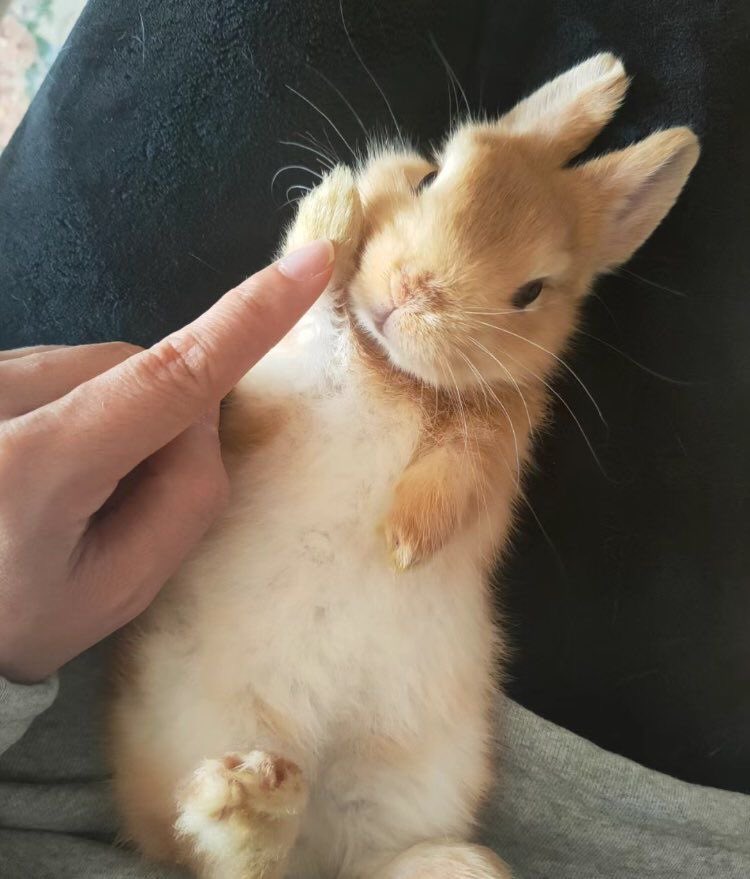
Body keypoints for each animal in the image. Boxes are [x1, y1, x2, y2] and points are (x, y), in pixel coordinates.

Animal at [109, 53, 699, 879]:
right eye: (429, 176)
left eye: (531, 292)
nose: (410, 294)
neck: (391, 368)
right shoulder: (272, 392)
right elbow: (306, 304)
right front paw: (333, 205)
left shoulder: (492, 450)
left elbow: (452, 484)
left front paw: (402, 541)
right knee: (220, 853)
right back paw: (246, 799)